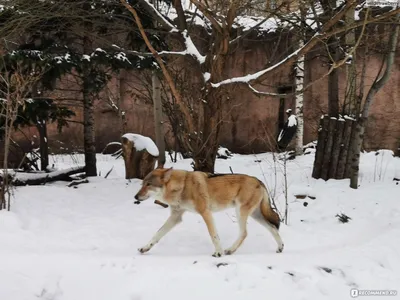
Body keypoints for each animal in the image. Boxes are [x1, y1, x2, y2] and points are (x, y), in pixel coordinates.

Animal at [134, 168, 284, 256]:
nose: (135, 197)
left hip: (241, 212)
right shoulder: (175, 217)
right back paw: (280, 248)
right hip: (255, 215)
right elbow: (157, 234)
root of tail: (259, 181)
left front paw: (218, 253)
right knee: (273, 227)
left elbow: (214, 235)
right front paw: (145, 248)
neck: (182, 187)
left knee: (244, 233)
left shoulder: (205, 212)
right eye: (142, 184)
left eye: (148, 184)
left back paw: (230, 250)